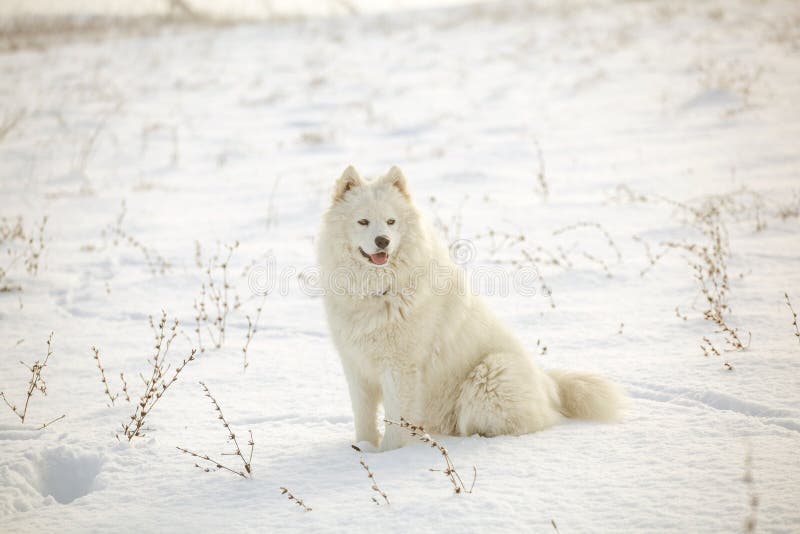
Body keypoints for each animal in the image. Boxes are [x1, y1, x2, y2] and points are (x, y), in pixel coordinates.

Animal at [316, 168, 620, 452]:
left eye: (391, 221)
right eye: (363, 221)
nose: (383, 241)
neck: (377, 291)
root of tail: (549, 385)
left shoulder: (400, 369)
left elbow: (397, 421)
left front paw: (388, 455)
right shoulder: (356, 366)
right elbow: (363, 417)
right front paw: (363, 448)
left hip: (488, 375)